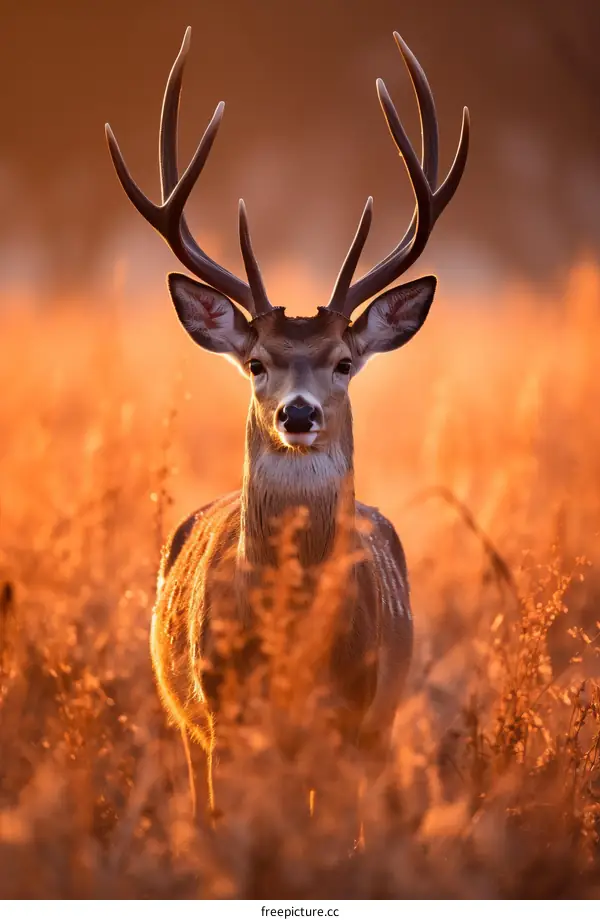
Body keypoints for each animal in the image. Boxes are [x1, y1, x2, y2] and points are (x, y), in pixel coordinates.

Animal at [105, 27, 469, 821]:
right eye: (256, 362)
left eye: (342, 362)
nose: (297, 412)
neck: (292, 654)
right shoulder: (223, 716)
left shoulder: (353, 716)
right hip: (187, 724)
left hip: (381, 727)